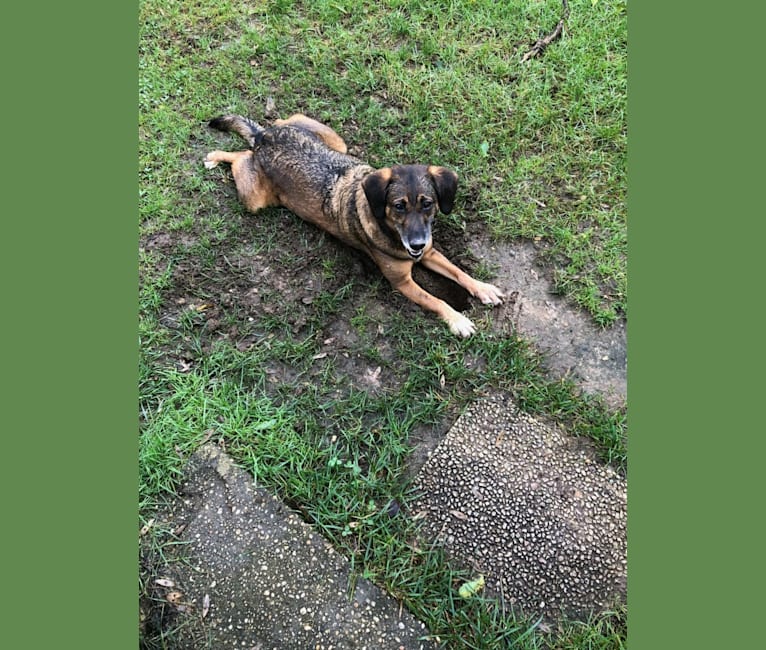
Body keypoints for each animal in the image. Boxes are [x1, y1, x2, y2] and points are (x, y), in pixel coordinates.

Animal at [204, 112, 504, 334]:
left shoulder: (430, 252)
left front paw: (483, 288)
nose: (417, 244)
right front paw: (457, 319)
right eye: (399, 206)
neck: (390, 231)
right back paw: (216, 156)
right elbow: (435, 299)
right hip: (255, 200)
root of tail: (264, 138)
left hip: (332, 139)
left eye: (428, 203)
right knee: (240, 156)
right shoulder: (403, 283)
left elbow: (458, 272)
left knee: (275, 124)